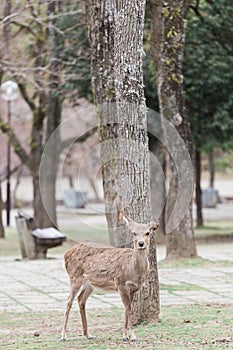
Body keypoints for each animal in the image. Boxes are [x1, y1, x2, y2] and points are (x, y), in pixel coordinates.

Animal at [60, 213, 158, 342]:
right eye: (134, 233)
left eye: (147, 232)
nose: (141, 243)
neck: (134, 270)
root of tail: (66, 254)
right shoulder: (121, 283)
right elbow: (128, 308)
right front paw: (132, 336)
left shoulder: (134, 288)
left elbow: (127, 308)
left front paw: (125, 336)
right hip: (75, 276)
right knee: (68, 301)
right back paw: (63, 336)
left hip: (89, 284)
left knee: (81, 299)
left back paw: (88, 334)